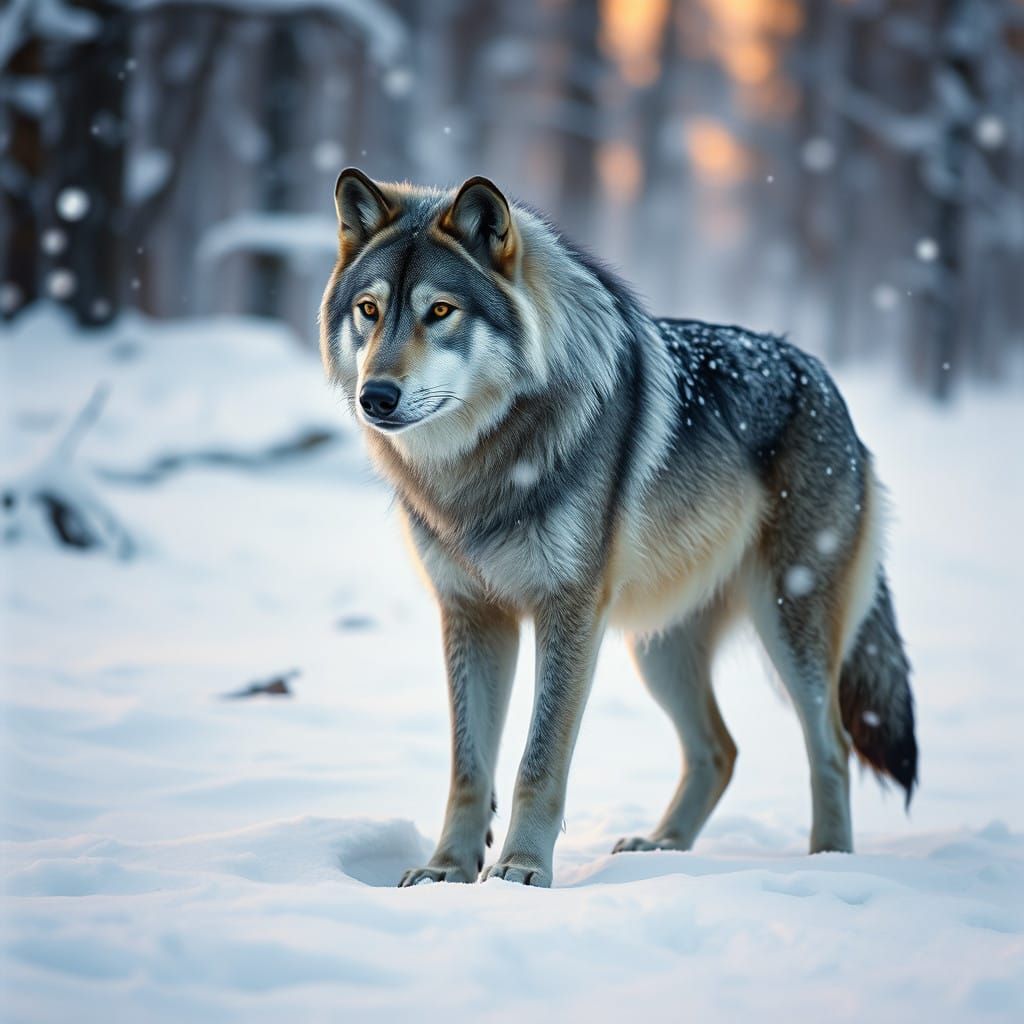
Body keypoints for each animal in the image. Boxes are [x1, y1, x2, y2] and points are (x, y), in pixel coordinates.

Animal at [319, 169, 918, 887]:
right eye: (369, 310)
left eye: (440, 311)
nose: (375, 397)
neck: (479, 470)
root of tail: (828, 383)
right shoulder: (471, 613)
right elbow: (468, 768)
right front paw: (447, 871)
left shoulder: (569, 611)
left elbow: (538, 761)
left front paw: (520, 871)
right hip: (657, 650)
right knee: (721, 749)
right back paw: (661, 846)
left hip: (788, 628)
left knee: (831, 745)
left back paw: (828, 863)